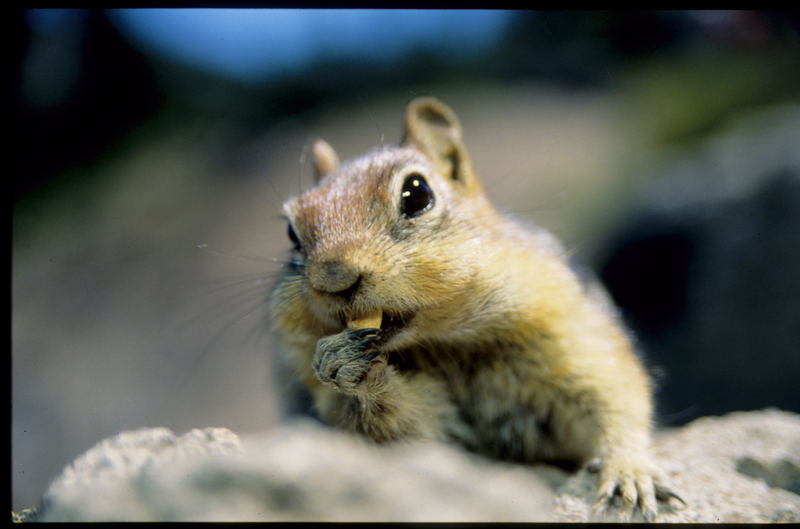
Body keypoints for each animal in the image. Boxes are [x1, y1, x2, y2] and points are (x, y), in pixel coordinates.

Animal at [268, 96, 680, 520]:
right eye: (290, 232)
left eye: (417, 194)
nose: (334, 278)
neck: (449, 341)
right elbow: (408, 431)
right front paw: (343, 364)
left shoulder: (577, 337)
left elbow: (616, 400)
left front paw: (630, 471)